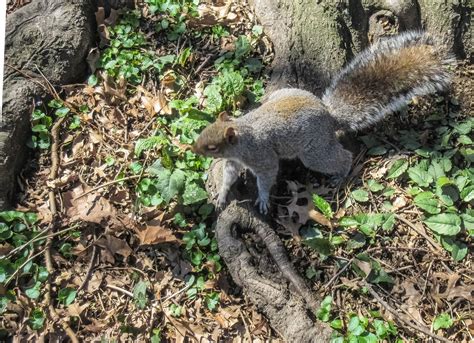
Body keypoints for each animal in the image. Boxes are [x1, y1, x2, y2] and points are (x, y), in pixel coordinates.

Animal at [192, 33, 456, 215]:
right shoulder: (234, 160)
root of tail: (329, 116)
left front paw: (264, 199)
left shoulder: (261, 156)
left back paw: (340, 175)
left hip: (314, 152)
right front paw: (222, 194)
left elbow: (267, 176)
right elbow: (229, 175)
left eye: (212, 147)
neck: (242, 136)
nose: (193, 149)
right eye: (203, 131)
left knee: (342, 157)